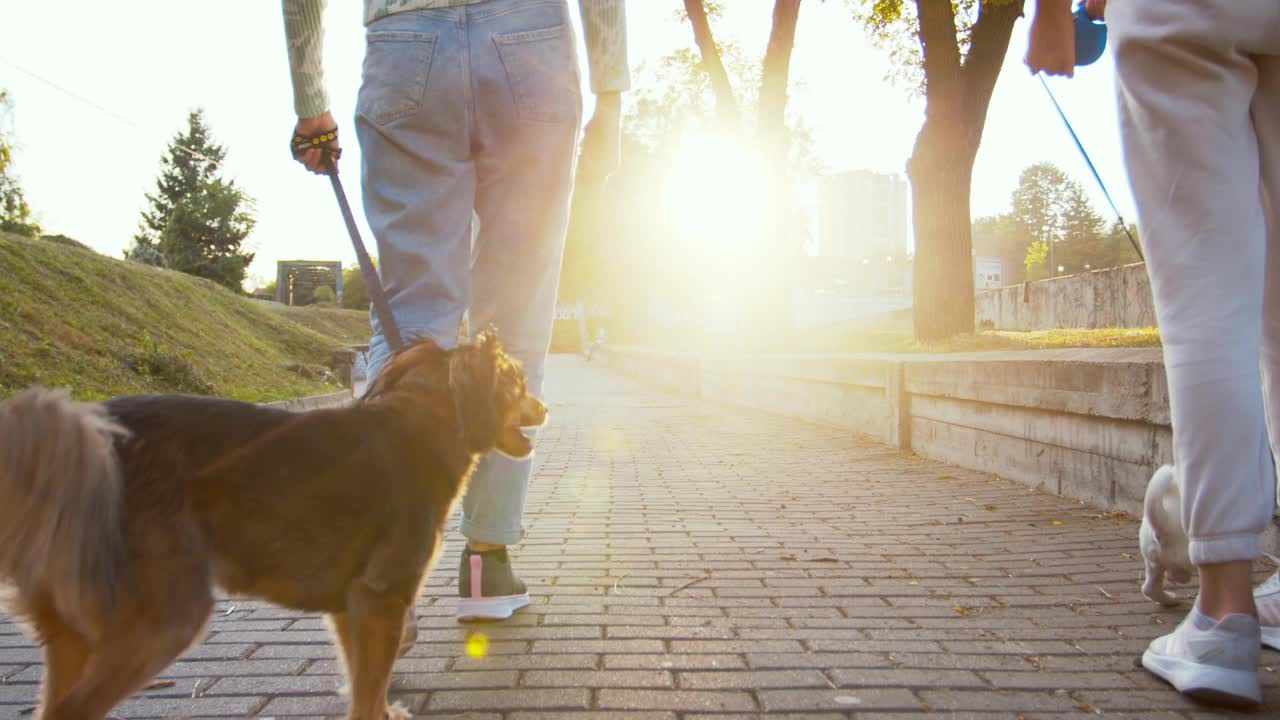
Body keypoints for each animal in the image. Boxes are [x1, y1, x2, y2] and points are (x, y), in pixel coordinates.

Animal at [0, 330, 545, 717]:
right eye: (518, 381)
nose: (543, 406)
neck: (424, 422)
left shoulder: (350, 608)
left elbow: (363, 691)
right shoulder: (381, 599)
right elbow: (368, 696)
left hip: (74, 630)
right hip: (165, 616)